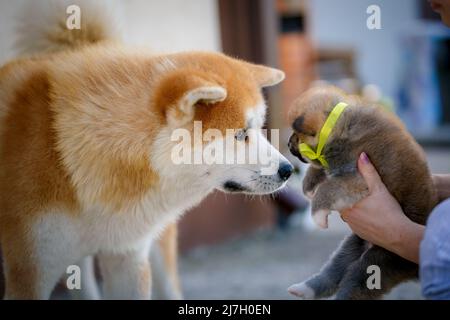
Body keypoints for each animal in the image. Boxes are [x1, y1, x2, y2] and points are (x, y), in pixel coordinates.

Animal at [286, 85, 438, 300]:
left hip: (378, 263)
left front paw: (317, 215)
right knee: (333, 271)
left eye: (297, 135)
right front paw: (308, 185)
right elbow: (319, 168)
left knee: (353, 283)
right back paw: (303, 288)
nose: (288, 144)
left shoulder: (357, 178)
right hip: (351, 245)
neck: (339, 127)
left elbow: (327, 188)